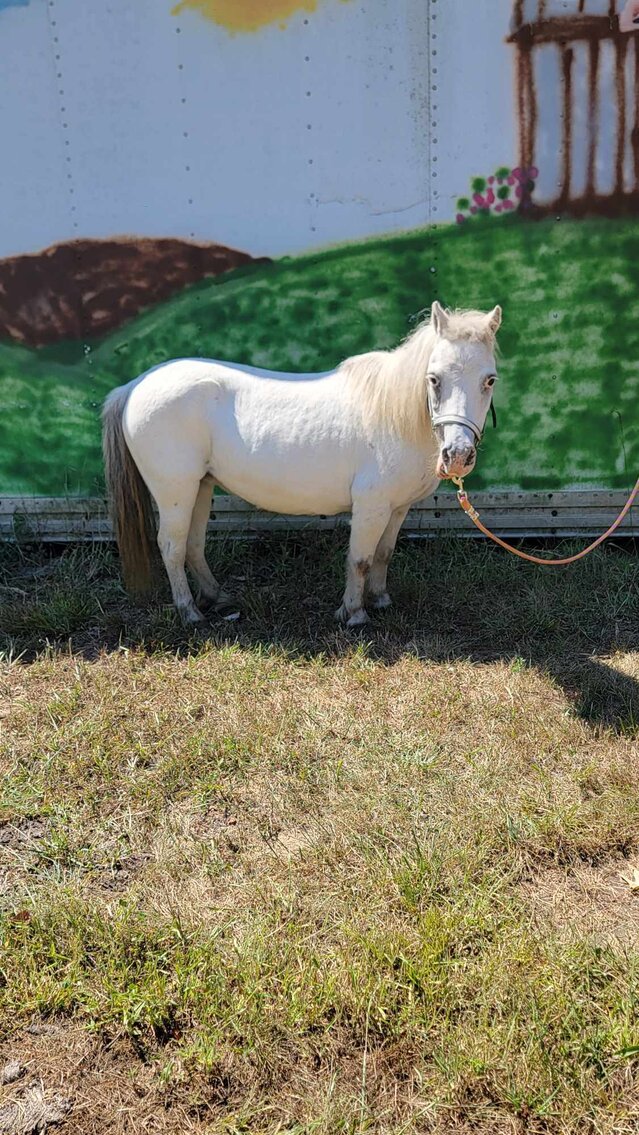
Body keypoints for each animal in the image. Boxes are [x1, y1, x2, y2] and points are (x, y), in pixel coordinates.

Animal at [102, 301, 501, 627]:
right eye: (434, 379)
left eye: (490, 380)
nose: (458, 455)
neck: (395, 415)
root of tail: (135, 385)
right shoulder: (371, 506)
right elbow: (360, 557)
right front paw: (354, 613)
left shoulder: (397, 508)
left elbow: (383, 554)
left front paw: (381, 600)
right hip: (175, 491)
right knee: (171, 546)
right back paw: (189, 613)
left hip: (201, 486)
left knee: (193, 545)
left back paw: (218, 598)